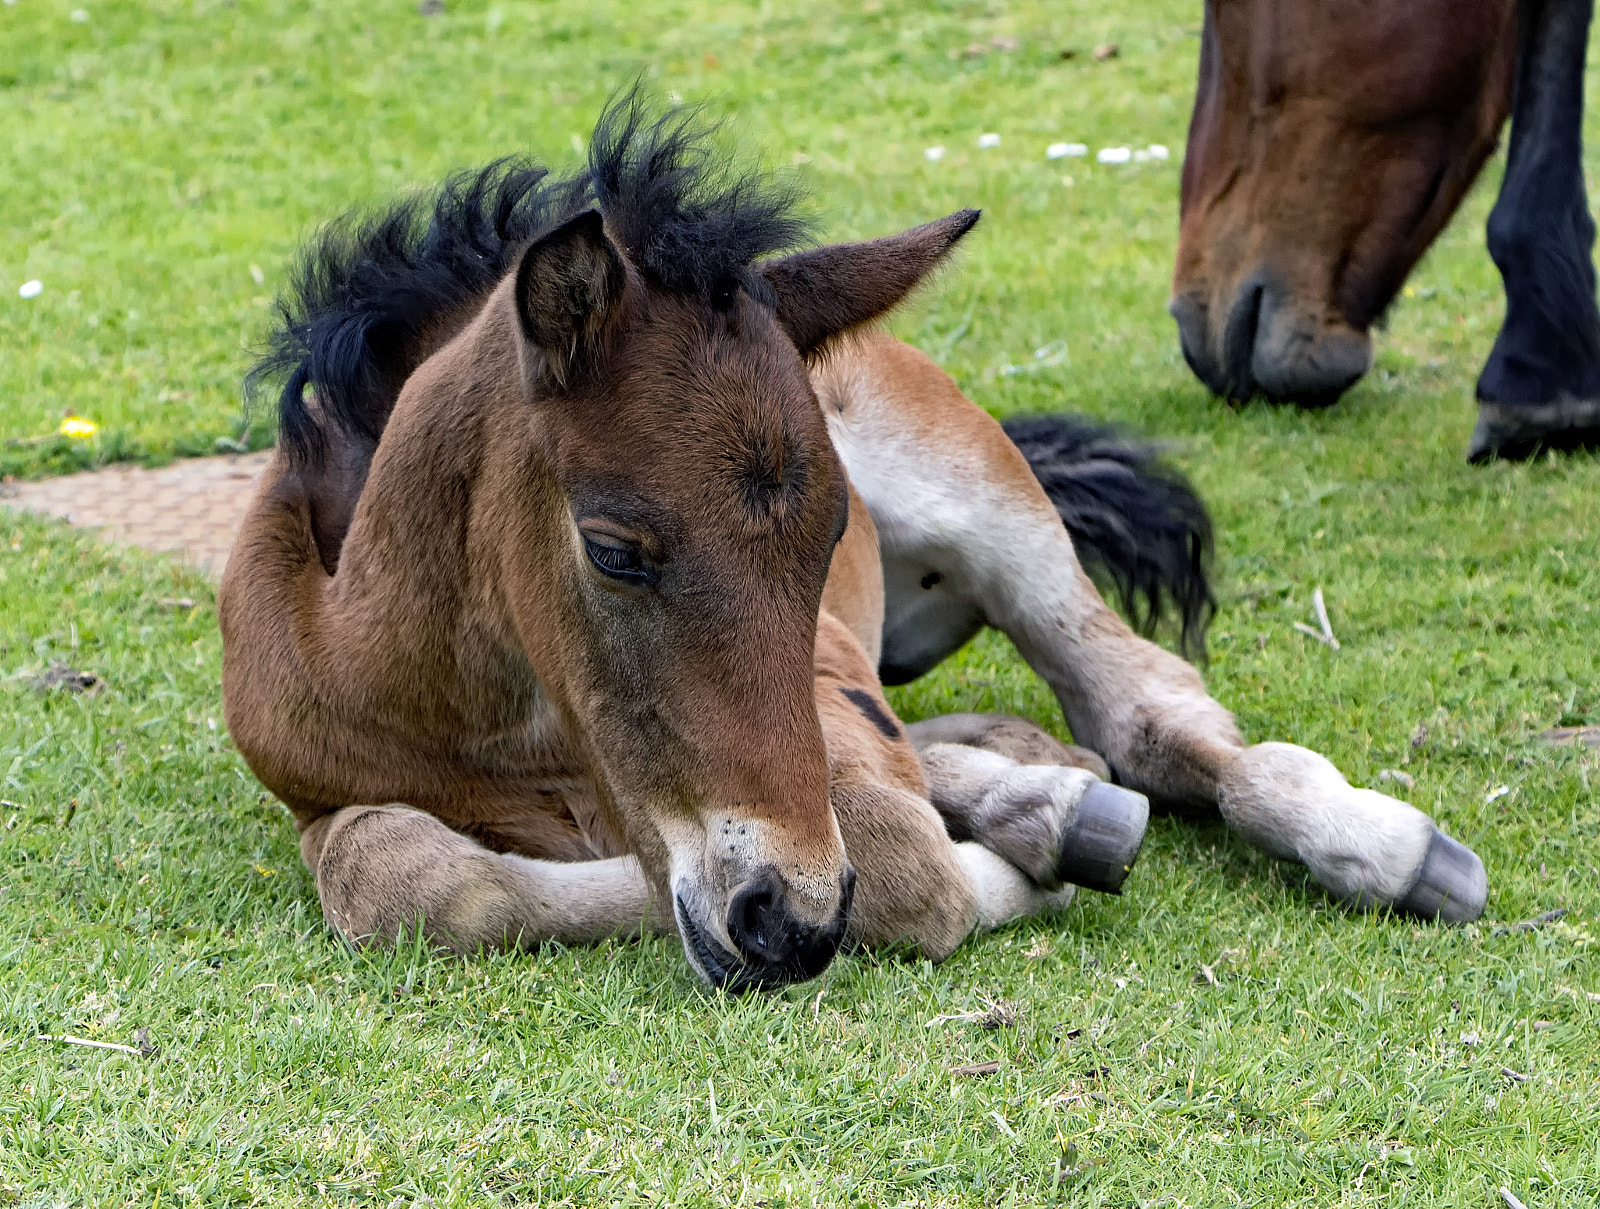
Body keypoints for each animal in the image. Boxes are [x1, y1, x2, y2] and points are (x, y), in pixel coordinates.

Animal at [220, 97, 1487, 993]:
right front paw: (1031, 824)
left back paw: (1370, 843)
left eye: (833, 537)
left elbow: (907, 869)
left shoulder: (821, 733)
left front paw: (1021, 862)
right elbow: (400, 873)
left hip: (997, 506)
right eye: (615, 549)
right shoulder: (319, 793)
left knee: (1146, 707)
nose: (786, 918)